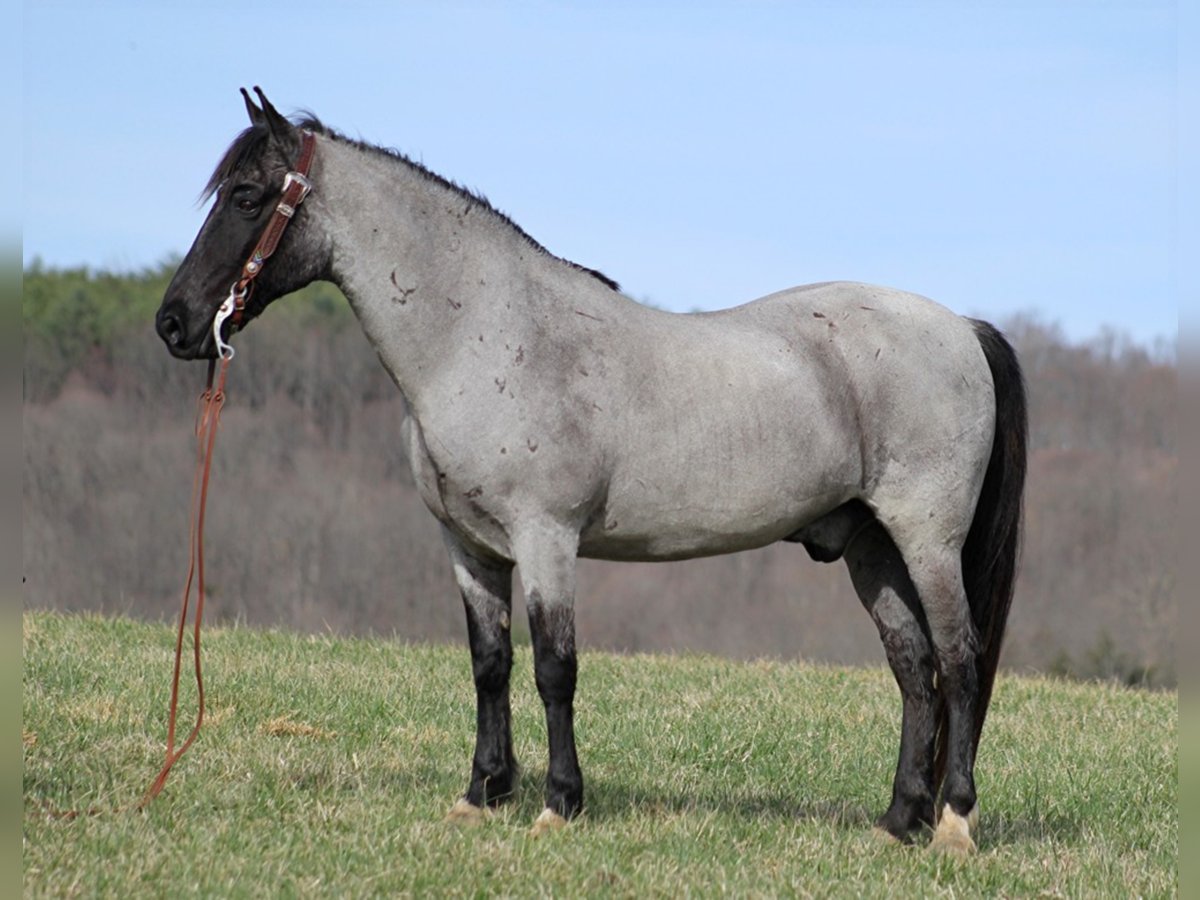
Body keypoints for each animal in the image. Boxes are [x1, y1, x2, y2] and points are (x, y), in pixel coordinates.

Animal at [154, 91, 1027, 859]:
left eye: (247, 196)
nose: (175, 323)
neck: (488, 335)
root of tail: (962, 327)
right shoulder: (470, 550)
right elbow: (490, 665)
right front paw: (481, 795)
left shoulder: (547, 541)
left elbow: (554, 669)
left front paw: (558, 804)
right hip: (871, 549)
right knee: (914, 672)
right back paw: (896, 821)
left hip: (926, 541)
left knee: (958, 664)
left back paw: (952, 823)